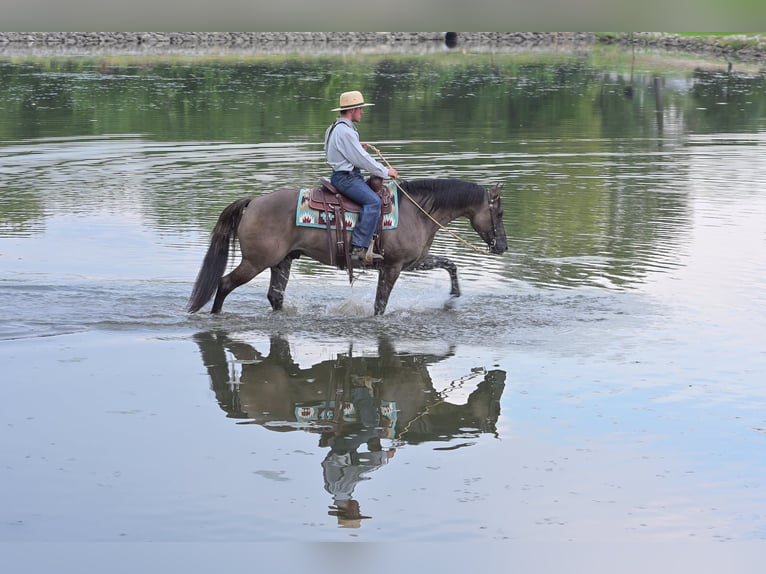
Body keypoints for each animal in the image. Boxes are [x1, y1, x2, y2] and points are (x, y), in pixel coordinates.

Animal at [187, 178, 508, 315]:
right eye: (501, 213)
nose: (502, 246)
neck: (416, 211)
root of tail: (253, 202)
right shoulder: (392, 267)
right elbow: (380, 304)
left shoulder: (415, 261)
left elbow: (449, 263)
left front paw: (453, 296)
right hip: (255, 262)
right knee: (224, 284)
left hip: (282, 261)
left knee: (274, 296)